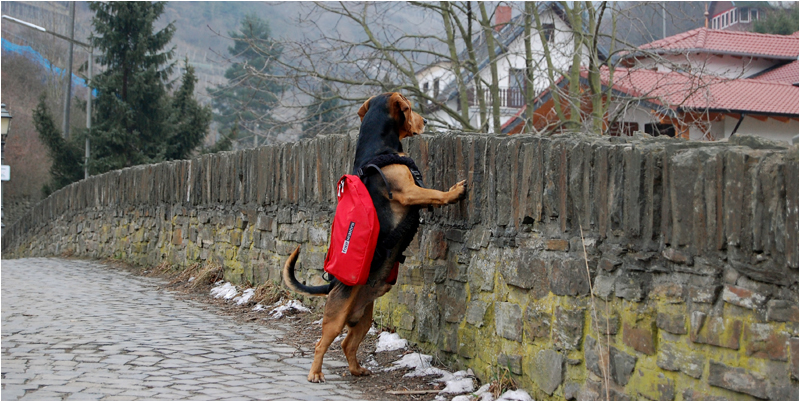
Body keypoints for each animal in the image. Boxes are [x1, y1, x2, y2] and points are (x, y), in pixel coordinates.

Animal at [282, 92, 466, 384]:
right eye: (411, 108)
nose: (425, 121)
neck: (379, 149)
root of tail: (332, 285)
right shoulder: (409, 191)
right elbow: (435, 193)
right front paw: (454, 192)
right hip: (336, 316)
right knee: (322, 343)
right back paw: (315, 373)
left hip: (364, 318)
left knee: (348, 344)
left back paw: (357, 369)